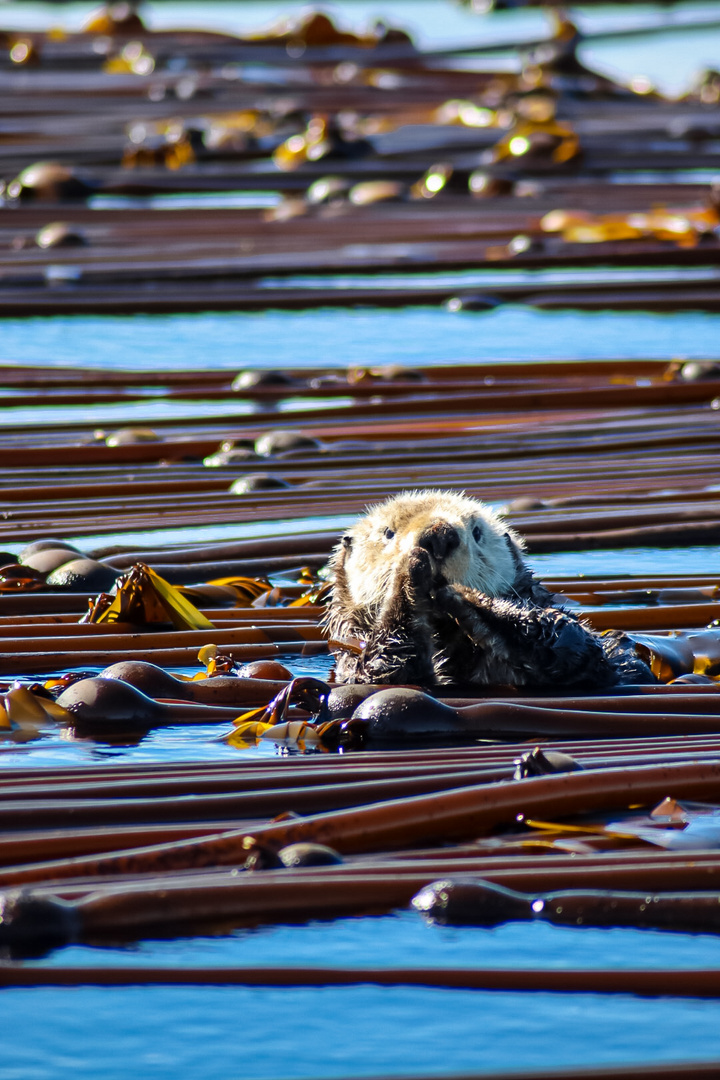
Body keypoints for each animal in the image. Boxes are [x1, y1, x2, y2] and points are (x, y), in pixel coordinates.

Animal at [325, 492, 660, 686]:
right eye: (388, 532)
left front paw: (467, 599)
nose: (439, 534)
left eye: (477, 532)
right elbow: (387, 668)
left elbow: (572, 641)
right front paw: (410, 576)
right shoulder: (352, 657)